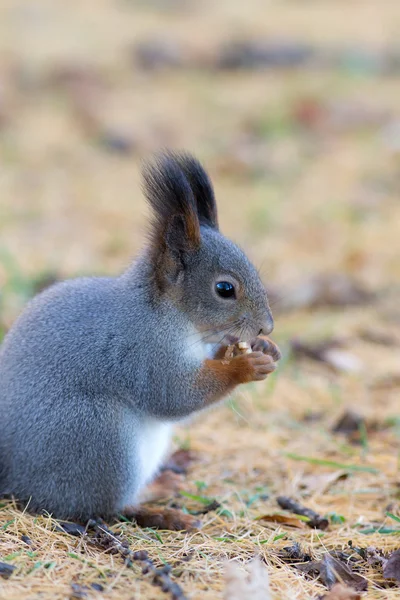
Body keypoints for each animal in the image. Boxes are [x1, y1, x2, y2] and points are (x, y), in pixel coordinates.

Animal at [0, 150, 282, 524]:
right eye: (225, 289)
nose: (267, 327)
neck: (176, 319)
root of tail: (13, 479)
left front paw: (262, 348)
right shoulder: (142, 351)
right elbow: (173, 395)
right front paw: (245, 367)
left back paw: (160, 488)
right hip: (94, 434)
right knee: (102, 508)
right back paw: (160, 514)